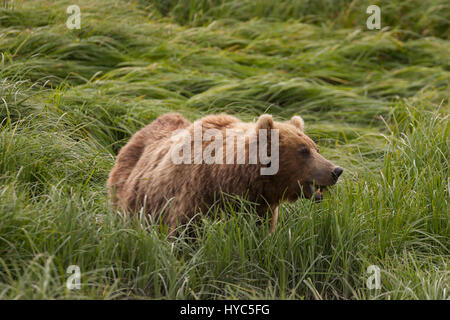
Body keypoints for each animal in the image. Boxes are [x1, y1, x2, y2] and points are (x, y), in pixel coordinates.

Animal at [107, 112, 342, 232]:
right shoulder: (195, 196)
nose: (336, 170)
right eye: (303, 151)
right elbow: (186, 232)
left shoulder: (260, 208)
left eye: (316, 148)